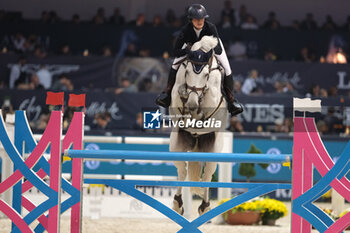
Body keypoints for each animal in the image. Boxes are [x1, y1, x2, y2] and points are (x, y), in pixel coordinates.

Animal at [169, 35, 227, 216]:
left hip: (213, 151)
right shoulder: (176, 95)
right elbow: (179, 93)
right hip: (176, 147)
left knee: (207, 175)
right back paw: (178, 204)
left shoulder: (214, 99)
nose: (193, 105)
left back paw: (205, 206)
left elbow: (209, 95)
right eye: (187, 72)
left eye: (206, 74)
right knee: (183, 171)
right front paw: (185, 96)